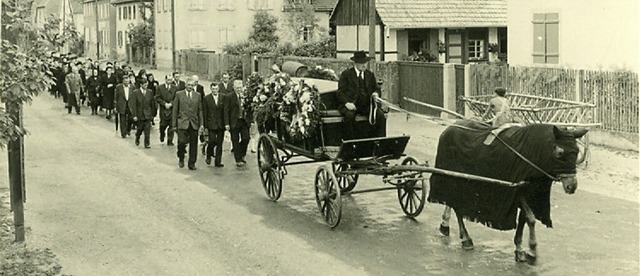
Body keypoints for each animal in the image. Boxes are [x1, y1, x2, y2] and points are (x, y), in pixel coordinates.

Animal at [428, 120, 588, 264]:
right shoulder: (517, 189)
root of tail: (448, 128)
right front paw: (531, 251)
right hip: (455, 179)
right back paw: (466, 239)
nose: (572, 186)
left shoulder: (528, 193)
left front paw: (521, 249)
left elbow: (524, 219)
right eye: (559, 152)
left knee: (451, 201)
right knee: (456, 206)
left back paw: (445, 225)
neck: (533, 156)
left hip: (454, 178)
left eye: (576, 152)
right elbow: (530, 218)